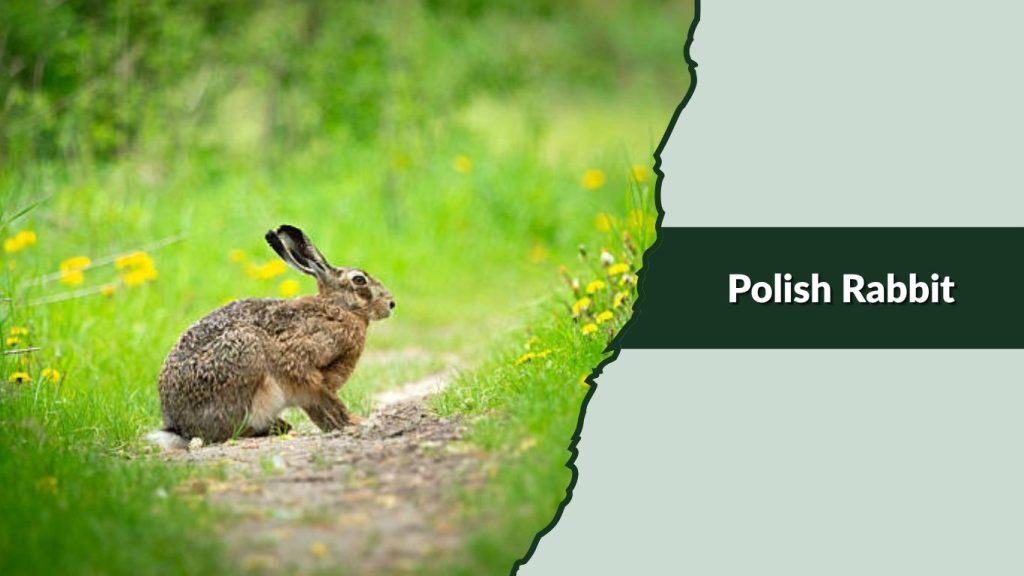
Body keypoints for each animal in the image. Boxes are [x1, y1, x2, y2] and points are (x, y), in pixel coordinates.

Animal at [146, 225, 395, 449]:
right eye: (359, 280)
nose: (391, 303)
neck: (339, 309)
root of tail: (179, 428)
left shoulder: (308, 391)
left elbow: (319, 409)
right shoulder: (304, 365)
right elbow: (328, 400)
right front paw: (356, 422)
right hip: (247, 352)